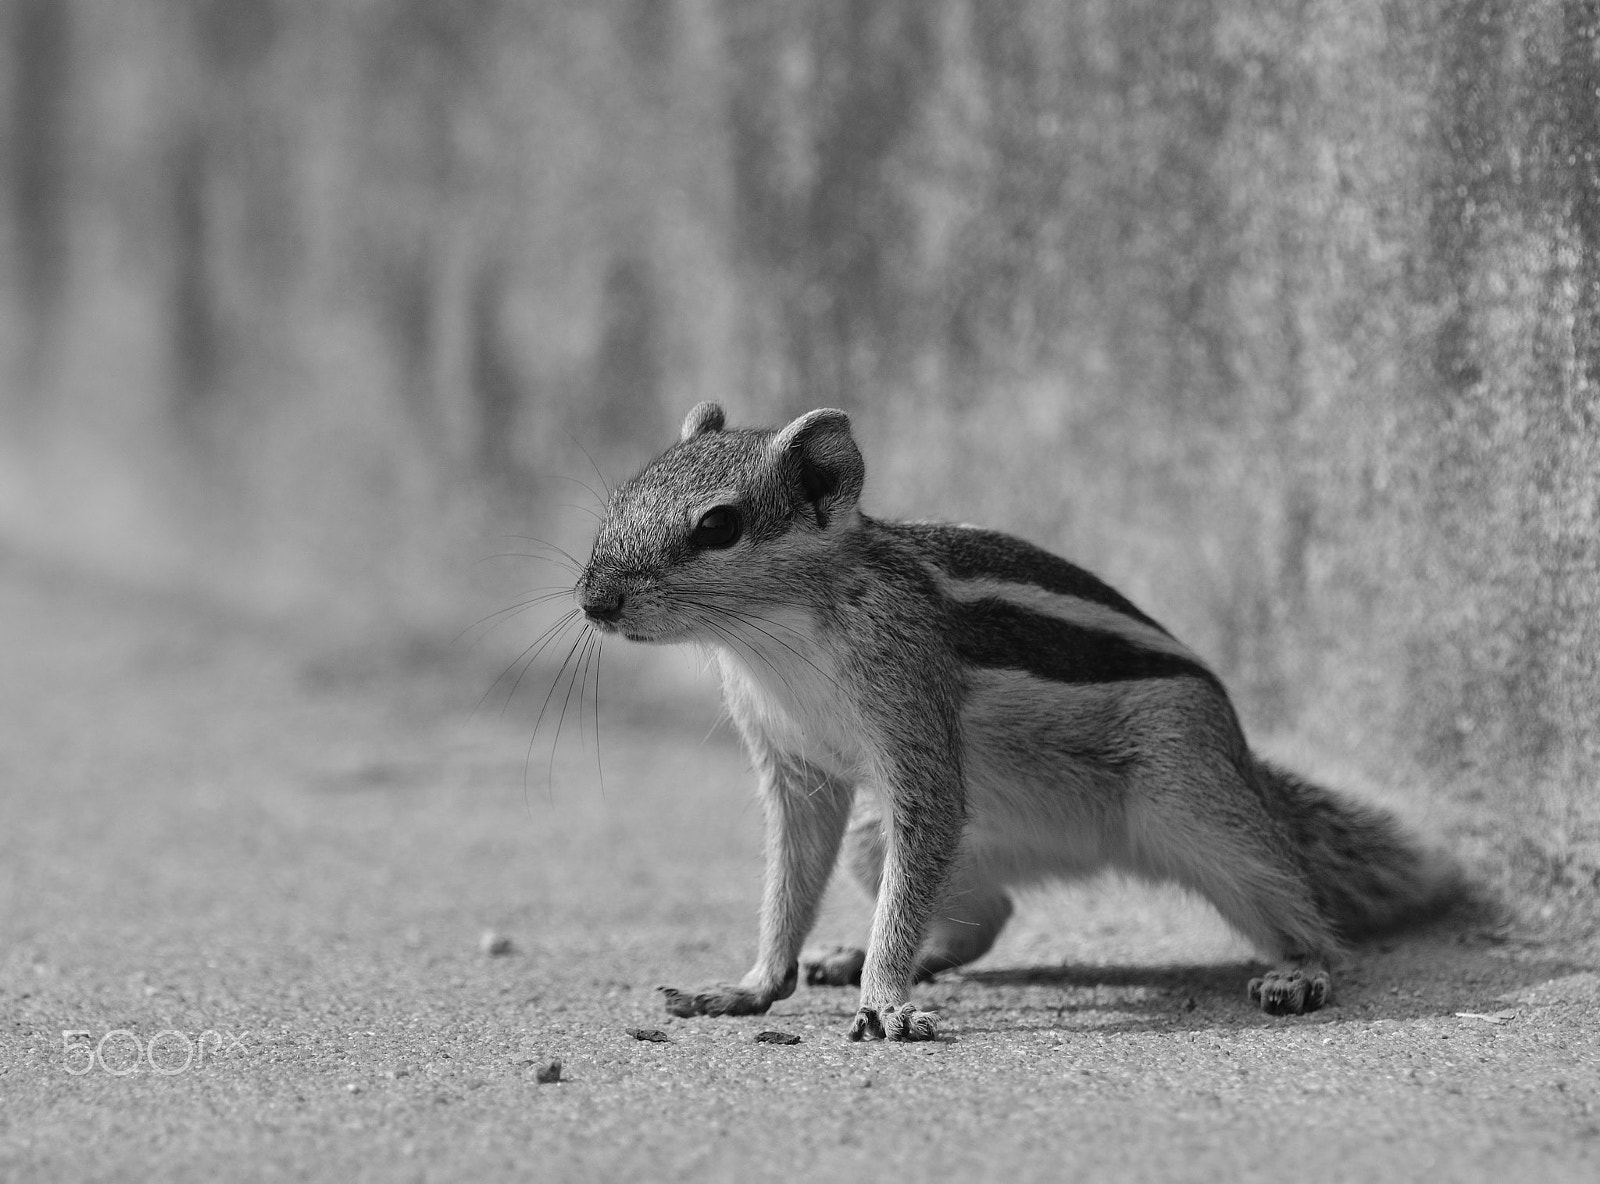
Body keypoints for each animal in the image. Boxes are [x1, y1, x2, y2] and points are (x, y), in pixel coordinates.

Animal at [572, 401, 1452, 1043]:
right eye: (622, 496)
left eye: (717, 526)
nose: (593, 600)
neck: (770, 635)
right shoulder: (798, 773)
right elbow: (788, 881)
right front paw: (755, 985)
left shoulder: (912, 720)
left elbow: (915, 834)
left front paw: (883, 1000)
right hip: (881, 837)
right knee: (985, 915)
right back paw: (872, 955)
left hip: (1196, 802)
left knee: (1302, 904)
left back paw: (1300, 969)